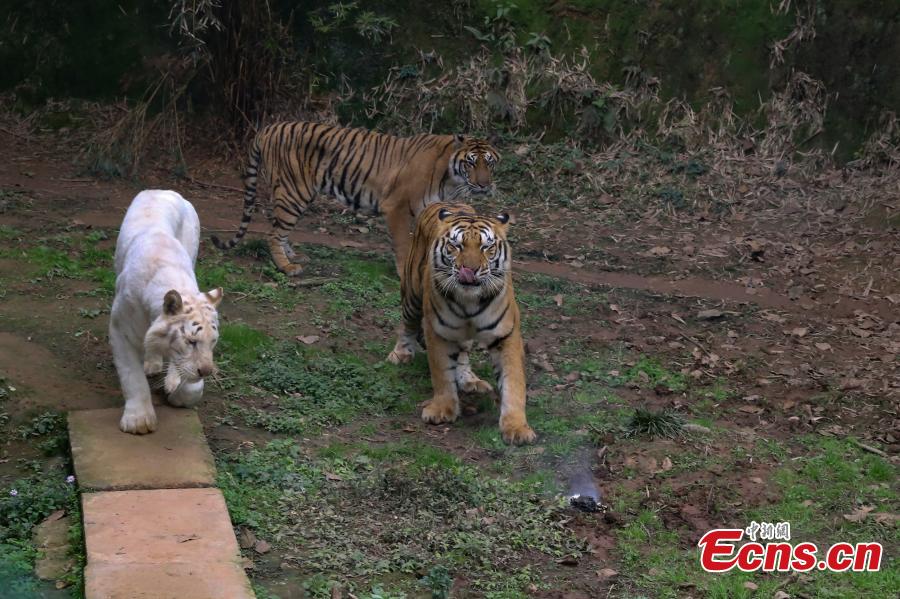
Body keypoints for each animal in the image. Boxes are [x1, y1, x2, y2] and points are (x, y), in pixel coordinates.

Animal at [212, 121, 500, 277]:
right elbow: (404, 245)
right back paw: (286, 266)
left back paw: (294, 256)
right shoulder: (396, 207)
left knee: (279, 229)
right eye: (471, 162)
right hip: (294, 191)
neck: (451, 178)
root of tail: (269, 128)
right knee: (273, 232)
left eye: (489, 162)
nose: (484, 184)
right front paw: (403, 272)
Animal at [387, 202, 536, 445]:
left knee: (463, 353)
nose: (470, 270)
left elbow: (513, 382)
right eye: (456, 246)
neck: (470, 301)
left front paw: (517, 428)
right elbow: (441, 373)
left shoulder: (506, 336)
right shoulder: (438, 332)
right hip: (412, 293)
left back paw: (469, 380)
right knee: (407, 325)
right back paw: (401, 353)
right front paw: (442, 409)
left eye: (486, 247)